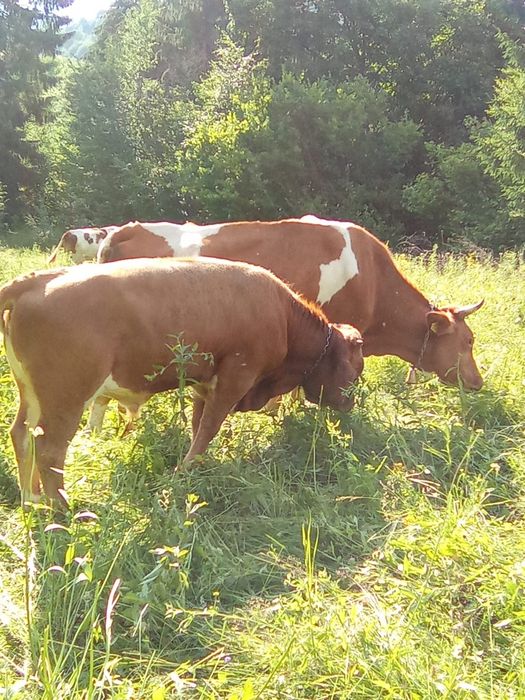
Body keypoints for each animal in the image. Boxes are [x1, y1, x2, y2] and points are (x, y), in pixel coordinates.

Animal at [0, 257, 364, 506]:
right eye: (356, 370)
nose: (350, 403)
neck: (284, 317)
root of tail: (37, 279)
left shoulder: (204, 384)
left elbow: (198, 424)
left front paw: (192, 466)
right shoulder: (235, 377)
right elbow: (209, 427)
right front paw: (185, 471)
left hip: (33, 395)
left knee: (22, 435)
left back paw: (32, 500)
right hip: (67, 397)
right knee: (50, 450)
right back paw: (62, 511)